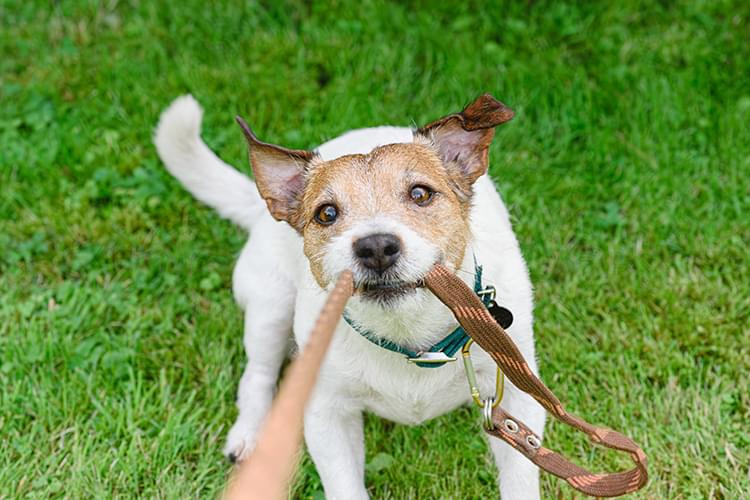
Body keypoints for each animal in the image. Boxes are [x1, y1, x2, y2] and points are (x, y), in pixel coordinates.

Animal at [156, 94, 548, 500]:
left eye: (420, 193)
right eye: (326, 213)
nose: (375, 247)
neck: (411, 338)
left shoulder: (517, 401)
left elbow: (520, 476)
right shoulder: (326, 414)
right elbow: (344, 484)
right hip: (271, 307)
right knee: (258, 375)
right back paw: (250, 436)